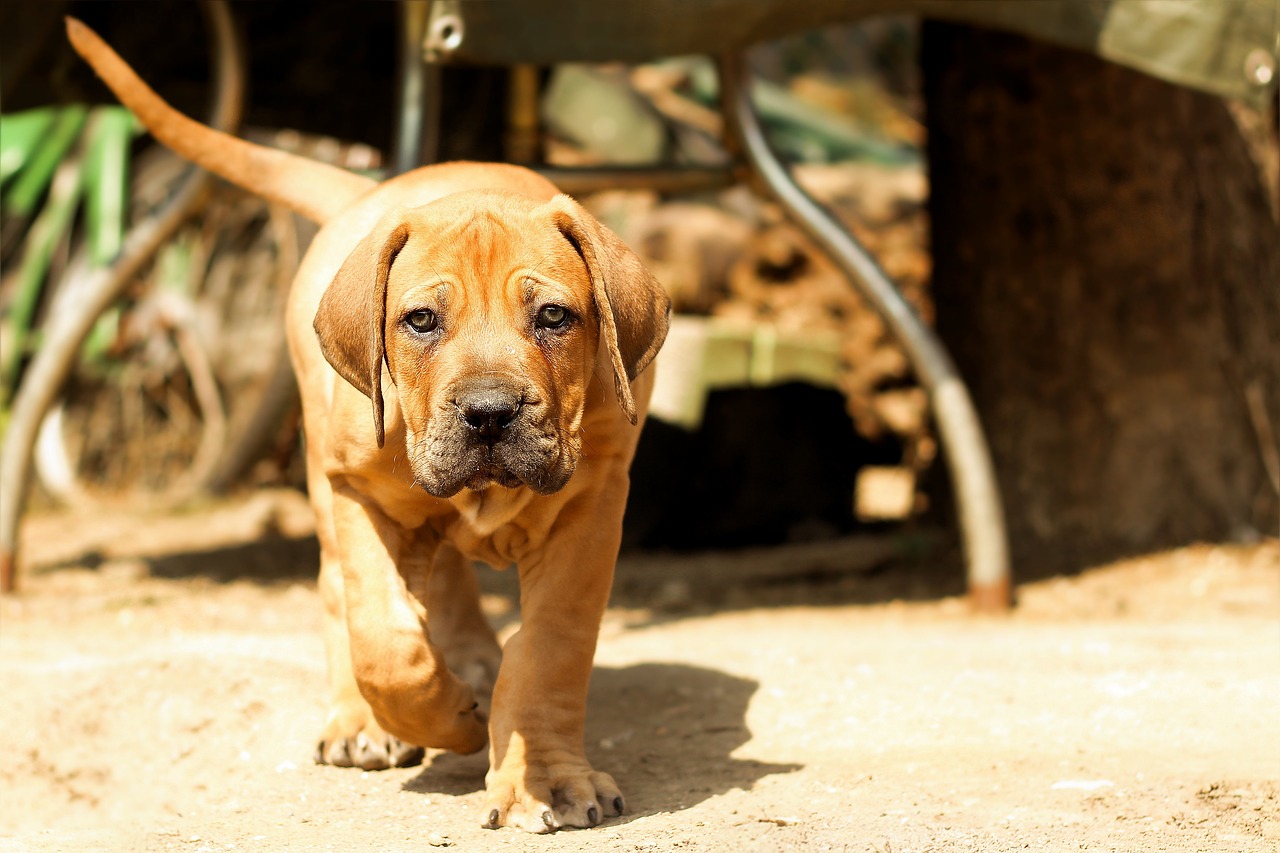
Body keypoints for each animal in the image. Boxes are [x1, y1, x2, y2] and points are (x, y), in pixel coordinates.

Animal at [67, 18, 670, 829]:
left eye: (553, 317)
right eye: (420, 321)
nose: (489, 413)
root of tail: (364, 189)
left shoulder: (591, 504)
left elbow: (549, 649)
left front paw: (543, 778)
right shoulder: (357, 492)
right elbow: (385, 642)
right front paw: (448, 717)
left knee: (449, 580)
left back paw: (471, 660)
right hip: (325, 478)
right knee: (341, 594)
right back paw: (367, 720)